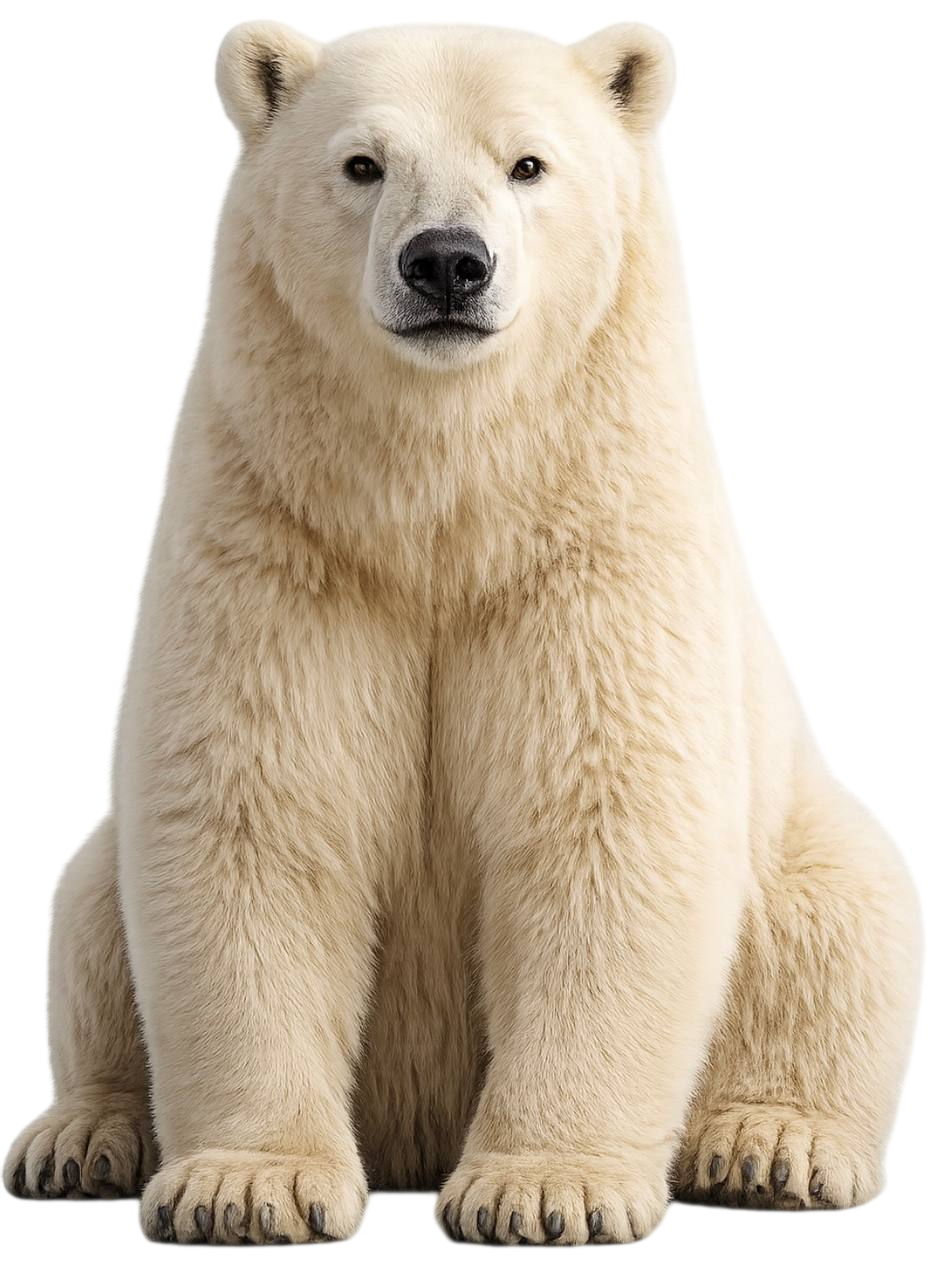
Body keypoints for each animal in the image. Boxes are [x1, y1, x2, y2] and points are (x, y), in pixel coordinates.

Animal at [0, 17, 926, 1248]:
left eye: (527, 163)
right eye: (361, 163)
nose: (446, 261)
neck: (441, 505)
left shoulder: (592, 543)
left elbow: (605, 819)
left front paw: (544, 1189)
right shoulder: (281, 533)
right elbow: (255, 812)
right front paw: (246, 1184)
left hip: (806, 841)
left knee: (852, 914)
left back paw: (771, 1145)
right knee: (90, 907)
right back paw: (79, 1135)